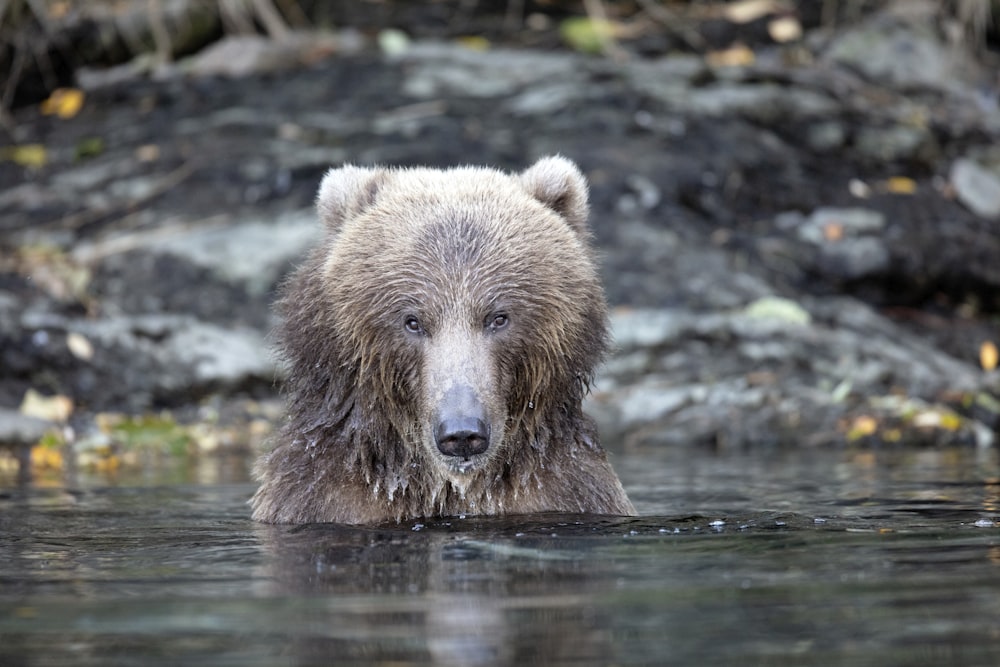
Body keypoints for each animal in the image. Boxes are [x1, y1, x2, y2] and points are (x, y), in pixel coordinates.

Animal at [254, 158, 636, 528]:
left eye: (498, 317)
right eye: (412, 321)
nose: (462, 432)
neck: (448, 488)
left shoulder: (564, 490)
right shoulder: (327, 496)